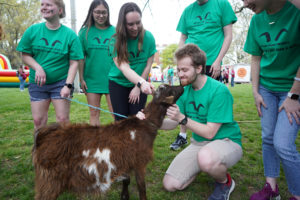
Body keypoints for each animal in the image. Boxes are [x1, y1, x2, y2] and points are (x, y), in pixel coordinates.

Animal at [32, 84, 183, 200]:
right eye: (170, 89)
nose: (182, 86)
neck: (145, 124)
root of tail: (42, 137)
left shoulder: (124, 160)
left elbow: (127, 180)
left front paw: (124, 196)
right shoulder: (139, 162)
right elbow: (142, 187)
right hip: (50, 181)